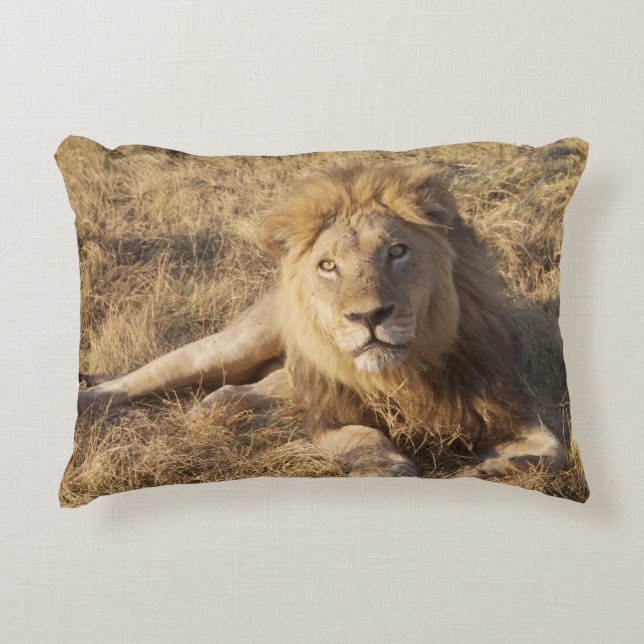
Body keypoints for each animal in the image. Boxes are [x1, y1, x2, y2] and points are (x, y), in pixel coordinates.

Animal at [78, 163, 566, 479]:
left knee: (235, 391)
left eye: (397, 250)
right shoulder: (329, 417)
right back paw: (87, 401)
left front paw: (488, 470)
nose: (368, 316)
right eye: (328, 266)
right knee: (132, 382)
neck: (401, 376)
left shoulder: (508, 409)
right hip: (231, 347)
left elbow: (552, 453)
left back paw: (220, 416)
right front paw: (387, 466)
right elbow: (364, 437)